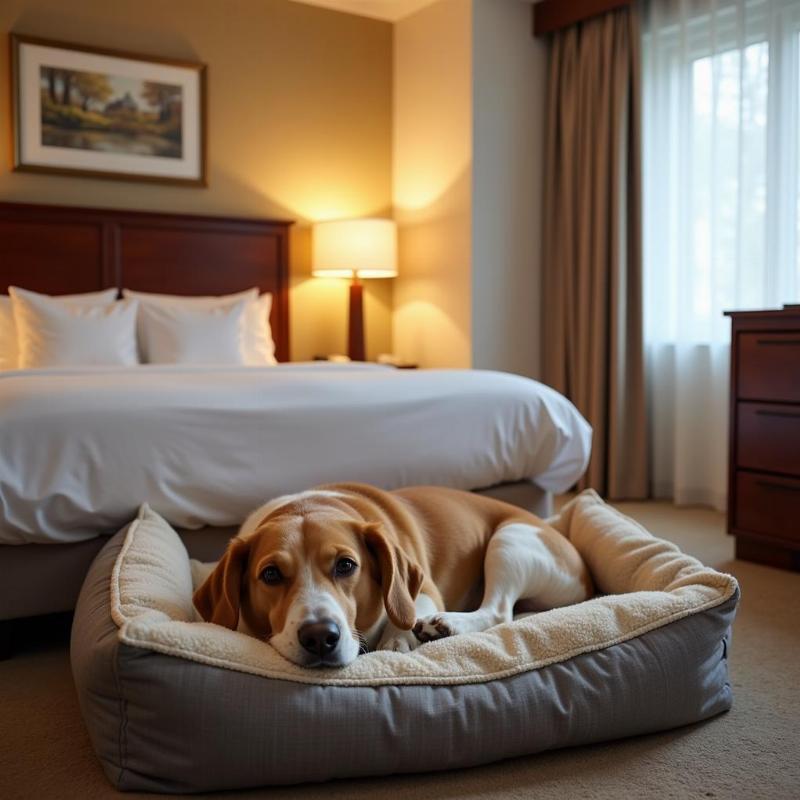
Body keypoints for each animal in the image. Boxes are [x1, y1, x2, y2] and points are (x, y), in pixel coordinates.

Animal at [194, 484, 592, 664]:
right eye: (271, 574)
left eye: (346, 565)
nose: (321, 637)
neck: (308, 505)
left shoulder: (424, 589)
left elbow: (404, 611)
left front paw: (398, 638)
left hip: (510, 541)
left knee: (498, 610)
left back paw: (446, 624)